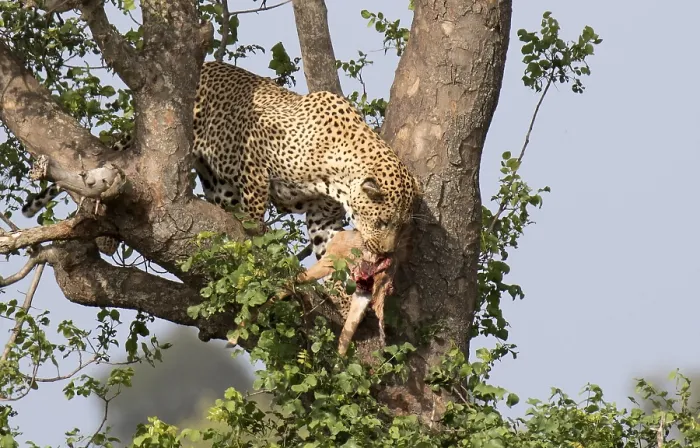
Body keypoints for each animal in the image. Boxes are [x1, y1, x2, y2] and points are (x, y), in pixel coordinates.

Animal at [22, 61, 421, 260]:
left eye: (401, 226)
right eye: (383, 222)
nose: (386, 253)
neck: (337, 176)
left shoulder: (323, 215)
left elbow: (327, 248)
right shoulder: (256, 158)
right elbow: (256, 214)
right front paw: (257, 239)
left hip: (218, 182)